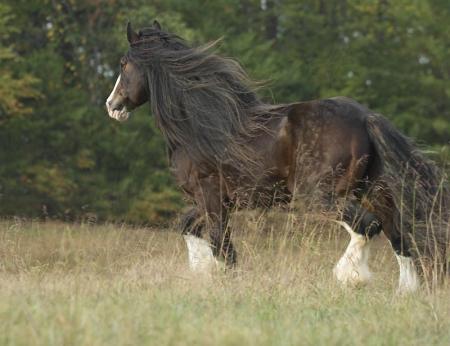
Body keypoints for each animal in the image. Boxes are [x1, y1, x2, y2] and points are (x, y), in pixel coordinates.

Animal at [104, 21, 446, 292]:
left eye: (123, 63)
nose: (112, 106)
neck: (200, 127)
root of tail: (365, 117)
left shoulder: (210, 195)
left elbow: (222, 247)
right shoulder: (215, 201)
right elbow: (189, 227)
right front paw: (202, 273)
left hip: (318, 195)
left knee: (368, 226)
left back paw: (348, 276)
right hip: (374, 192)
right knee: (400, 237)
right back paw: (405, 293)